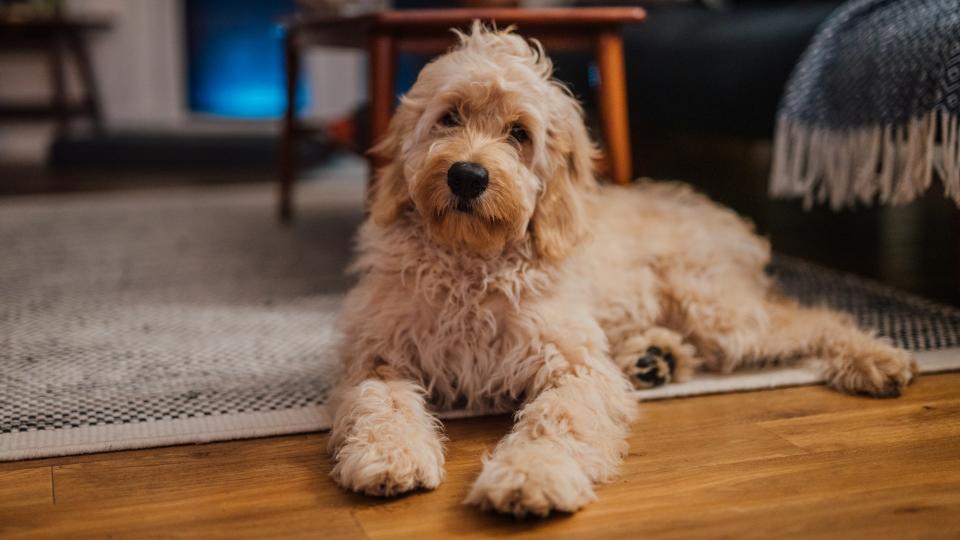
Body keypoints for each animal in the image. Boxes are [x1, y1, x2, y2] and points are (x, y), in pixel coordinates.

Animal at [328, 23, 916, 516]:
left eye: (519, 133)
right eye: (449, 116)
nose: (467, 176)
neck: (471, 263)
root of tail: (722, 216)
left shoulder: (575, 363)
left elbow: (559, 419)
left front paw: (530, 475)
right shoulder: (379, 354)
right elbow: (381, 402)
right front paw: (390, 454)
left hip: (717, 309)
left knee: (817, 314)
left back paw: (878, 358)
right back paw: (656, 358)